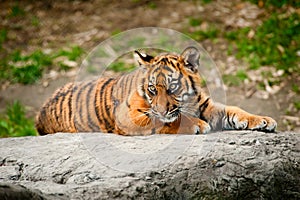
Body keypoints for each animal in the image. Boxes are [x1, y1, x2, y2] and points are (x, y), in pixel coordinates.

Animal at [35, 46, 276, 135]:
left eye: (173, 88)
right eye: (152, 89)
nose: (161, 108)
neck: (187, 102)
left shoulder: (205, 105)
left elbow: (235, 110)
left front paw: (263, 120)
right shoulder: (129, 116)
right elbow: (165, 121)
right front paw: (197, 125)